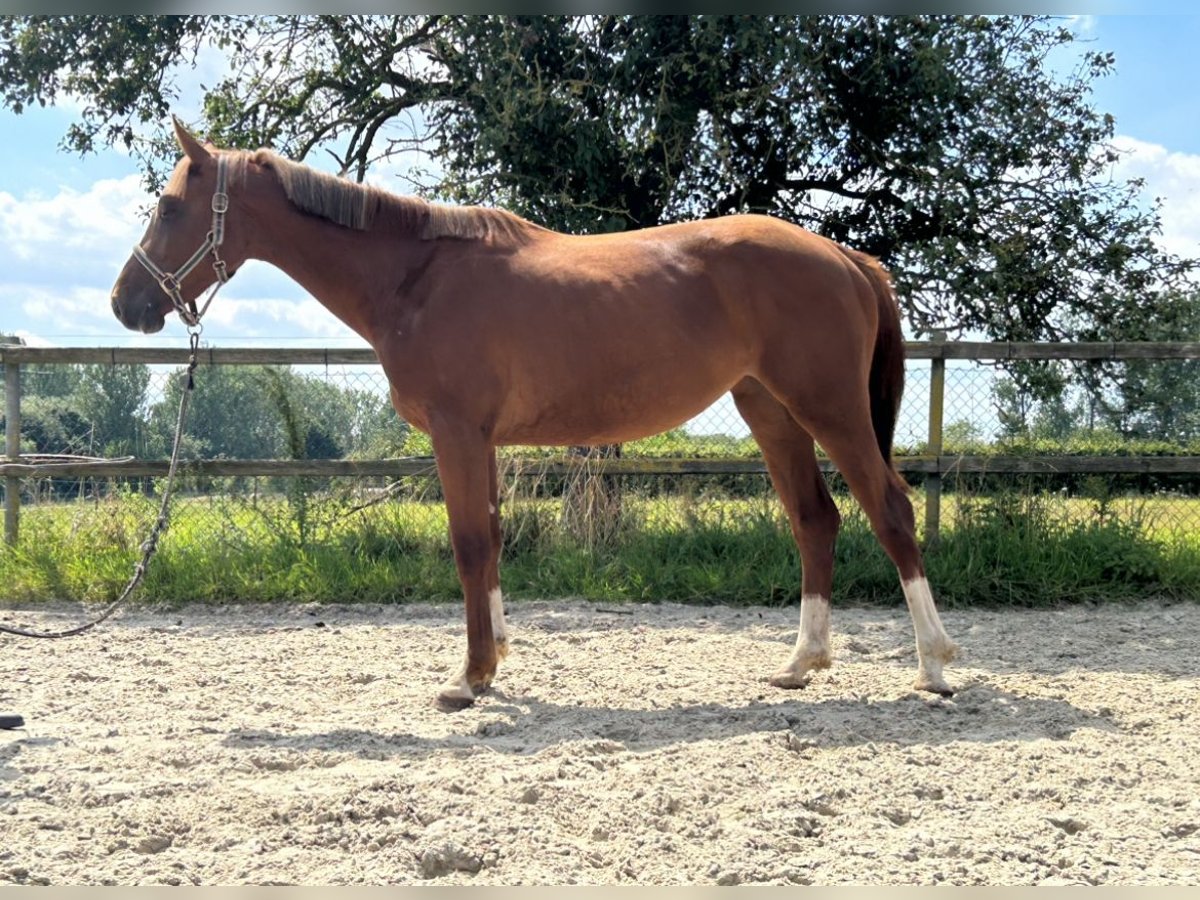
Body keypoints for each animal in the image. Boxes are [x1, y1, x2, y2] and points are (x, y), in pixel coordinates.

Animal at [110, 120, 955, 710]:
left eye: (170, 206)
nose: (127, 303)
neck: (415, 279)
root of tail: (845, 258)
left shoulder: (456, 433)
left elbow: (468, 544)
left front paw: (468, 677)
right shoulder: (480, 440)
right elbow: (490, 540)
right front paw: (494, 663)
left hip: (828, 408)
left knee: (889, 509)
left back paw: (934, 666)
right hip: (772, 411)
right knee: (815, 520)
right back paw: (801, 665)